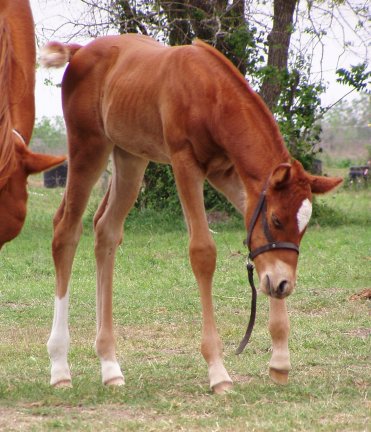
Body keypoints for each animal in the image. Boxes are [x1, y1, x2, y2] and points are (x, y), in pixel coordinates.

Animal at [41, 33, 342, 392]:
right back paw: (60, 367)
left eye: (303, 228)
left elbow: (260, 251)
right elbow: (202, 252)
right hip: (89, 146)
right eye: (276, 219)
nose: (284, 284)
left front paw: (280, 360)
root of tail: (80, 52)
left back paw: (110, 366)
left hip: (130, 156)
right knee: (66, 230)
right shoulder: (185, 163)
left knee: (106, 231)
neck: (210, 93)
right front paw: (218, 371)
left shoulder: (228, 173)